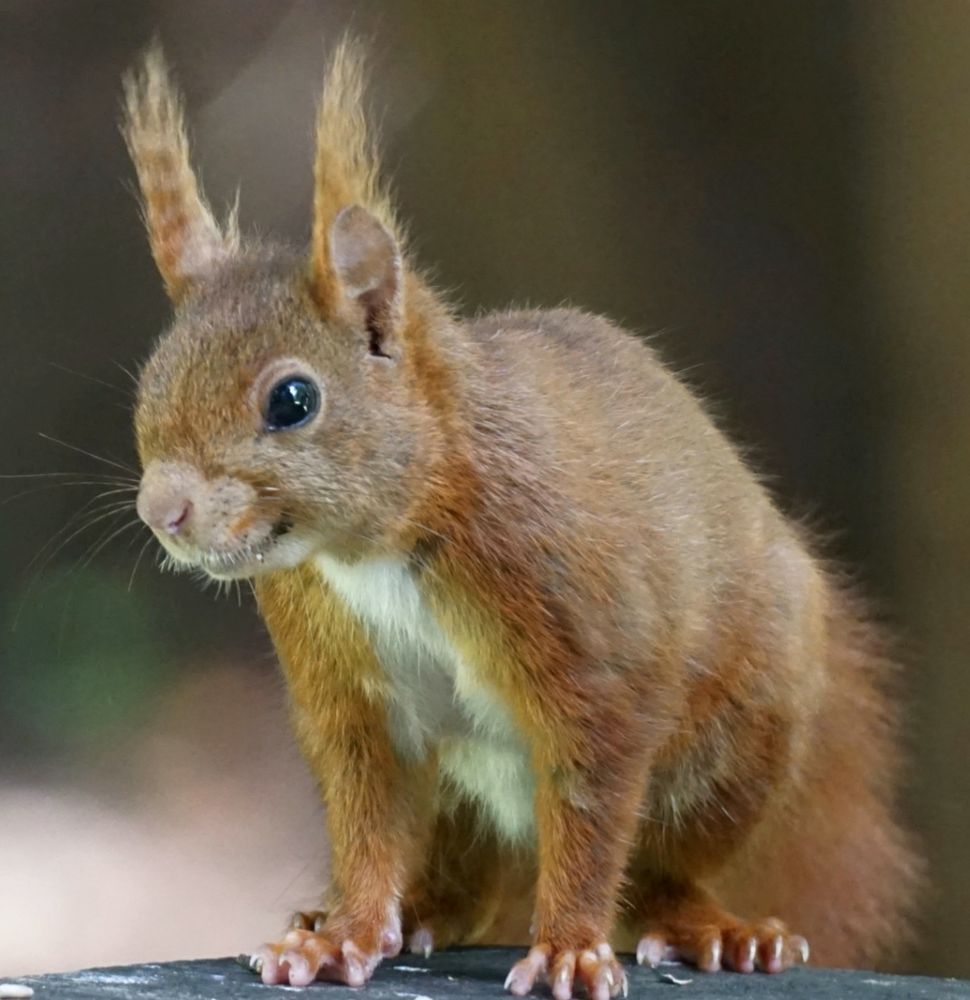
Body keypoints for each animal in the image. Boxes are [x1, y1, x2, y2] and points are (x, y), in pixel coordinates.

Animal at [123, 38, 920, 998]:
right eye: (151, 379)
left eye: (292, 400)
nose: (162, 510)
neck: (382, 547)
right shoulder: (340, 683)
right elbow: (364, 809)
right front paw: (342, 936)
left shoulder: (585, 638)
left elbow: (591, 794)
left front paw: (571, 949)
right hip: (459, 807)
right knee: (455, 879)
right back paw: (396, 912)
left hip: (735, 745)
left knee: (659, 872)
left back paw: (715, 930)